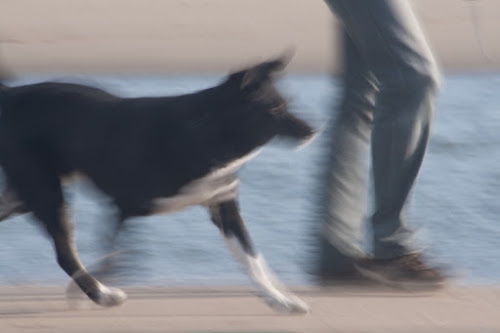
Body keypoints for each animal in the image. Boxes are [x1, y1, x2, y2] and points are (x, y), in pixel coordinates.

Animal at [0, 54, 314, 312]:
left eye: (288, 104)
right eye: (274, 108)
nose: (312, 130)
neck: (205, 132)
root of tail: (10, 94)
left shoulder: (223, 207)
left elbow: (253, 259)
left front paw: (280, 299)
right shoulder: (123, 206)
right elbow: (119, 257)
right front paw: (87, 289)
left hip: (24, 196)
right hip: (46, 193)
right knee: (66, 254)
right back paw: (102, 296)